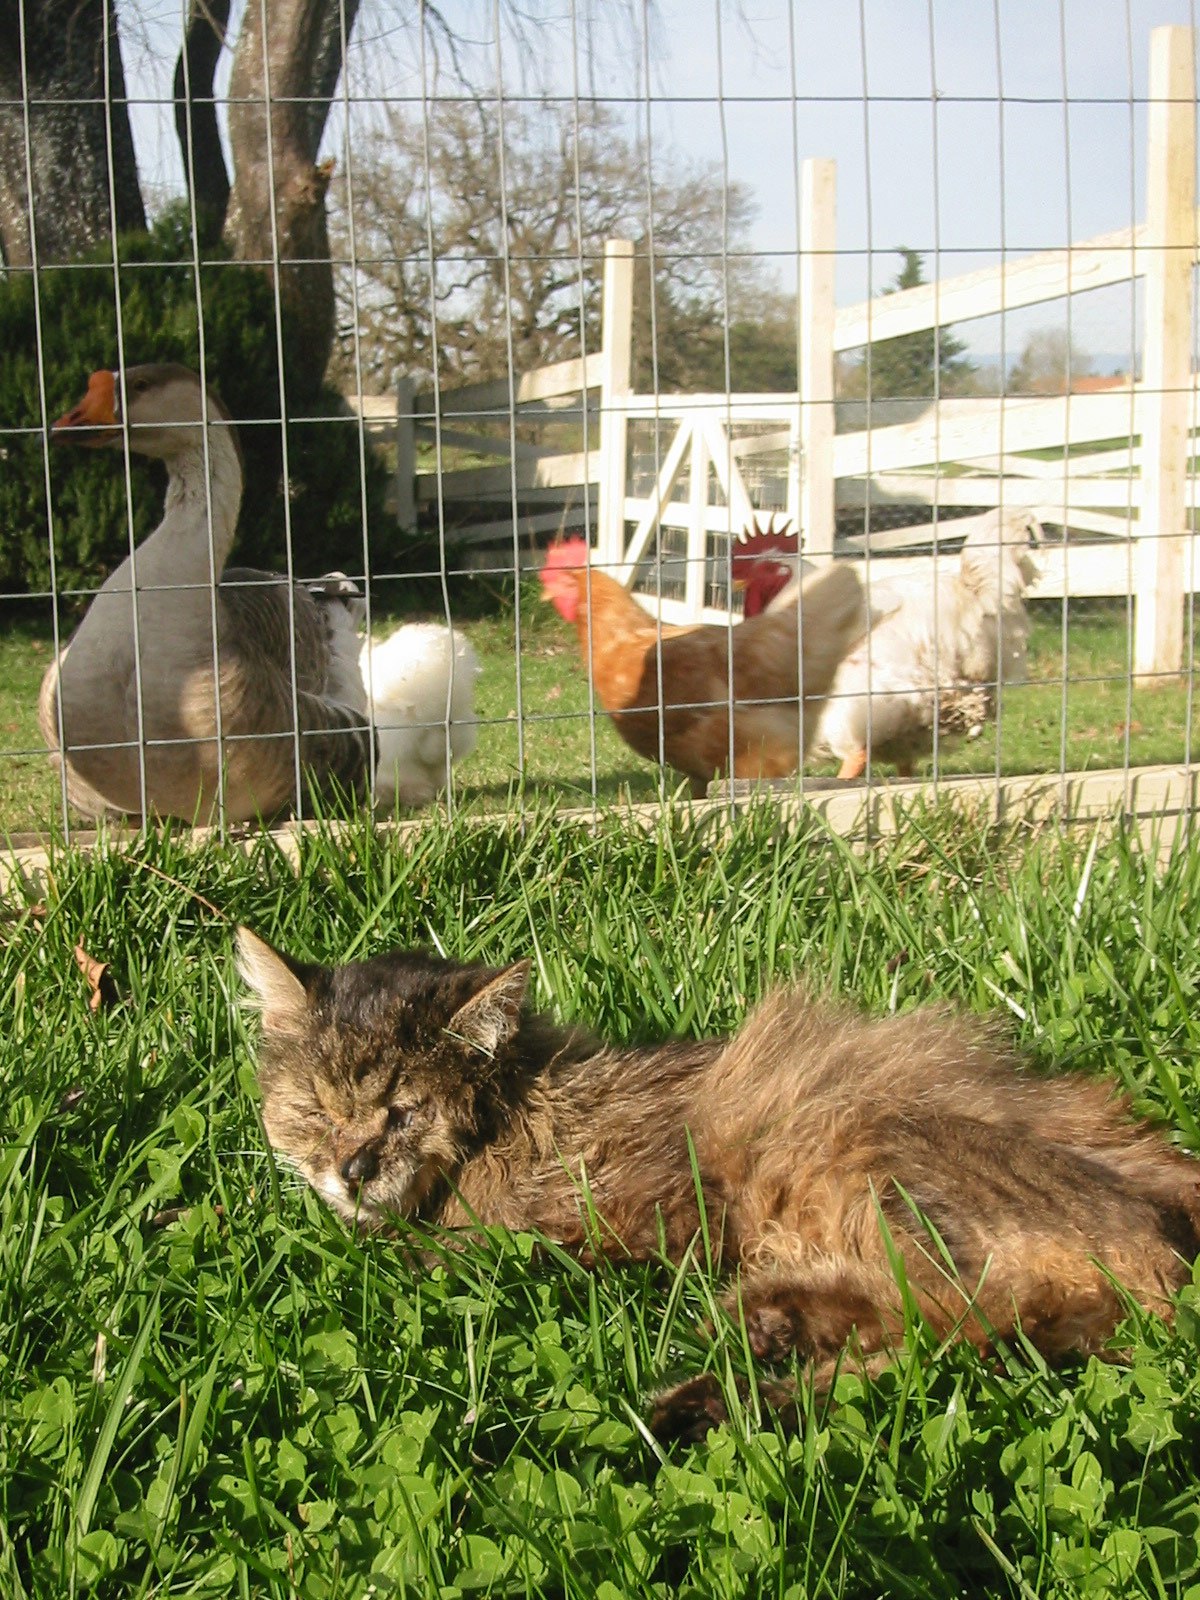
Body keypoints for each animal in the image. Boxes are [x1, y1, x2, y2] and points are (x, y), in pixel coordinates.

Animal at [240, 928, 1200, 1440]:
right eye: (314, 1109)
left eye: (402, 1112)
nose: (350, 1170)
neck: (516, 1100)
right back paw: (758, 1340)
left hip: (855, 1146)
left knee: (957, 1327)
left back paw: (720, 1382)